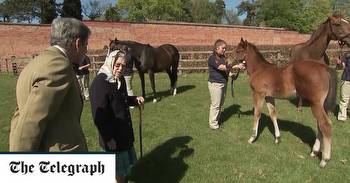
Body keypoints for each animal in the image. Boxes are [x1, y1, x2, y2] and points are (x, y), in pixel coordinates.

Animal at [234, 38, 338, 167]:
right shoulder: (269, 97)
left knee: (325, 125)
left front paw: (252, 138)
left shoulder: (258, 94)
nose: (229, 60)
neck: (259, 69)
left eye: (238, 50)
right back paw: (314, 152)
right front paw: (277, 138)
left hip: (316, 104)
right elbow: (273, 115)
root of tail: (325, 69)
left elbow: (257, 114)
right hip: (322, 106)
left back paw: (324, 160)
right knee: (320, 125)